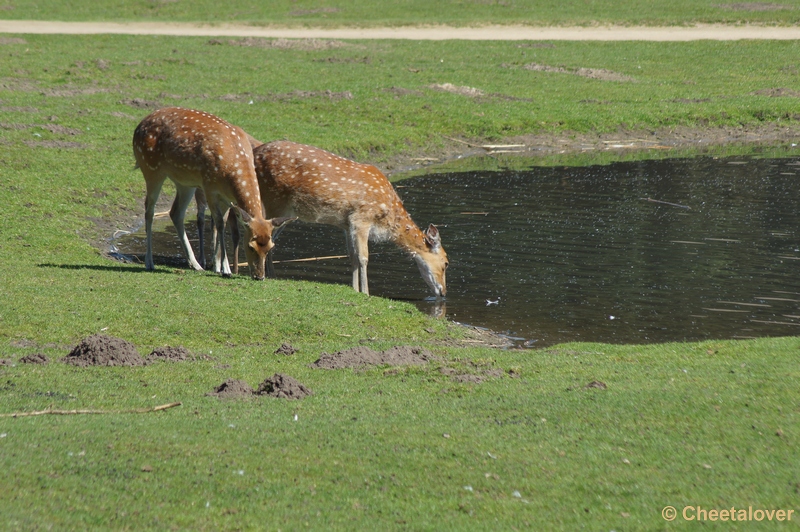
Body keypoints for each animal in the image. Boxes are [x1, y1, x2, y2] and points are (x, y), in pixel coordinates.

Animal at [133, 109, 290, 282]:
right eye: (251, 246)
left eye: (270, 247)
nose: (259, 276)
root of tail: (140, 124)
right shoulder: (209, 186)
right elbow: (219, 224)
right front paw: (225, 270)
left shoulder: (227, 197)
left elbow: (220, 223)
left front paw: (220, 266)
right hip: (151, 167)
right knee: (149, 210)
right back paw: (149, 262)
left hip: (185, 182)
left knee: (176, 213)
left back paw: (195, 264)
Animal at [228, 139, 446, 298]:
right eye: (446, 263)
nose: (443, 292)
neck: (387, 216)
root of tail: (253, 152)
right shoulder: (361, 218)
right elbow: (364, 257)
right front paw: (366, 293)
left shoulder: (346, 224)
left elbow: (352, 256)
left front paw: (355, 289)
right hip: (273, 200)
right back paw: (269, 275)